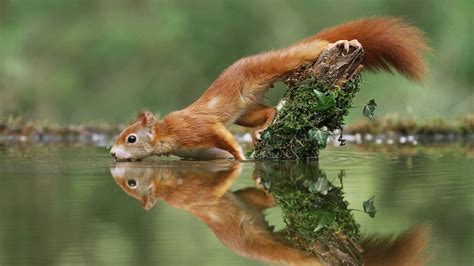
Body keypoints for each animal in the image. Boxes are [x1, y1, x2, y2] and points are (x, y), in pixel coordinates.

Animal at [110, 18, 430, 162]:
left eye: (131, 138)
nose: (112, 153)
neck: (169, 134)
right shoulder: (198, 153)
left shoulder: (197, 127)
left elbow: (222, 136)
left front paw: (241, 157)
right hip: (247, 111)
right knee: (270, 112)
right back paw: (261, 130)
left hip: (277, 64)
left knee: (309, 51)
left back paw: (341, 42)